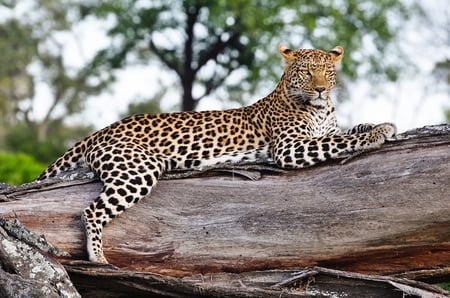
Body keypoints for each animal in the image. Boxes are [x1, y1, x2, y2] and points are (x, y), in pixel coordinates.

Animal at [37, 44, 396, 264]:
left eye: (327, 71)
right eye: (307, 72)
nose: (321, 89)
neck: (320, 108)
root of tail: (102, 130)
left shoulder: (324, 129)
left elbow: (346, 130)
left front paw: (384, 124)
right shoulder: (291, 147)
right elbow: (339, 141)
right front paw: (376, 134)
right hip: (138, 168)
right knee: (91, 211)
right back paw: (98, 257)